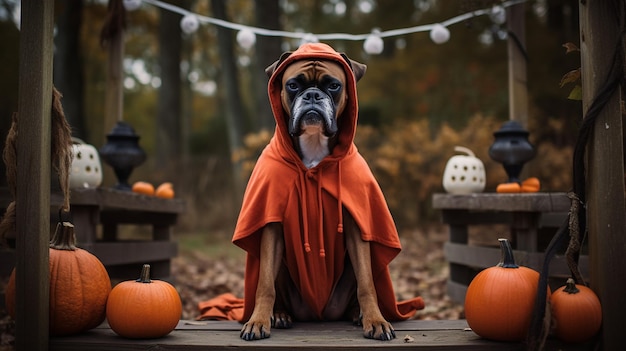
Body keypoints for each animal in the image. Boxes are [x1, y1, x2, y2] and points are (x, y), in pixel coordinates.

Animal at [234, 42, 424, 342]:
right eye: (293, 85)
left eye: (334, 85)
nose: (312, 95)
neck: (313, 151)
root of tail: (318, 316)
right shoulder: (270, 226)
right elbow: (264, 283)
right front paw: (257, 321)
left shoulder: (358, 227)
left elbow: (367, 284)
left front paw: (375, 320)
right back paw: (280, 314)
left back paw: (358, 314)